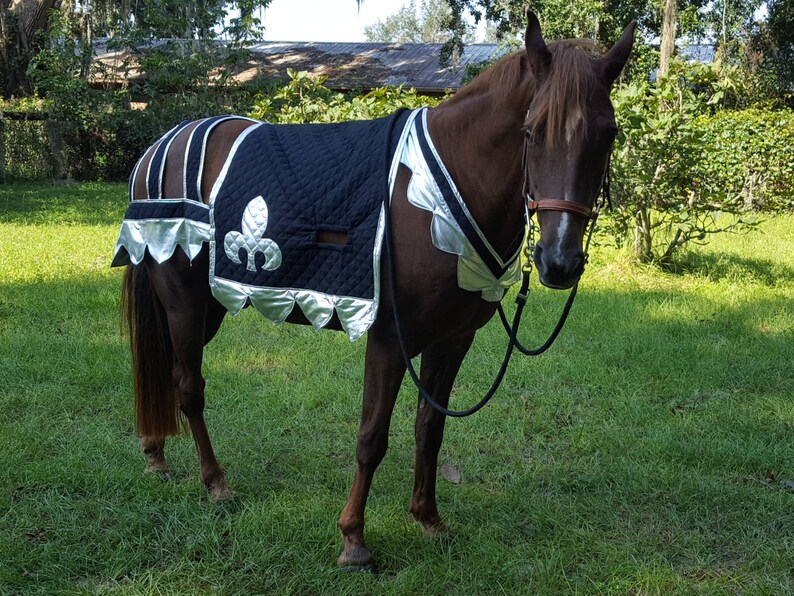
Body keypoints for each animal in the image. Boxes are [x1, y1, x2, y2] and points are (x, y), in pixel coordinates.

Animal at [115, 12, 635, 568]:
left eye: (608, 134)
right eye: (532, 132)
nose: (559, 261)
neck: (444, 190)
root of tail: (158, 148)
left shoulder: (452, 341)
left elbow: (429, 429)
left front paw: (428, 519)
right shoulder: (389, 338)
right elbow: (372, 436)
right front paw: (354, 538)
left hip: (206, 306)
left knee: (165, 371)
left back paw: (155, 452)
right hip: (185, 301)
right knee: (188, 385)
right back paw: (215, 483)